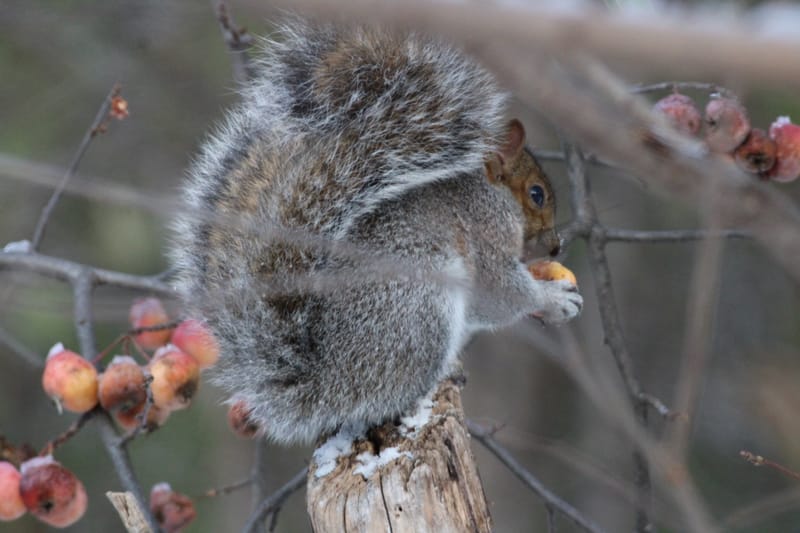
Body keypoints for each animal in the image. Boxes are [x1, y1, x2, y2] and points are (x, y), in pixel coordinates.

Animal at [170, 19, 583, 445]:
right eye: (536, 194)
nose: (556, 247)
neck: (488, 191)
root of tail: (325, 384)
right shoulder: (484, 234)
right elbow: (498, 293)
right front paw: (553, 299)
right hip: (420, 303)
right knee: (386, 395)